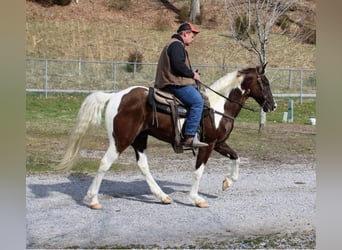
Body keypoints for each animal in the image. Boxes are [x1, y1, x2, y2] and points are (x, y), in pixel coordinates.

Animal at [55, 63, 276, 209]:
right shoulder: (208, 144)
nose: (273, 106)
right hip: (121, 140)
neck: (218, 107)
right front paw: (196, 198)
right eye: (265, 82)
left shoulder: (218, 143)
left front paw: (228, 182)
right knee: (104, 163)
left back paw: (162, 196)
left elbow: (236, 157)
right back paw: (93, 200)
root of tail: (116, 96)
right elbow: (198, 171)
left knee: (143, 166)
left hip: (139, 139)